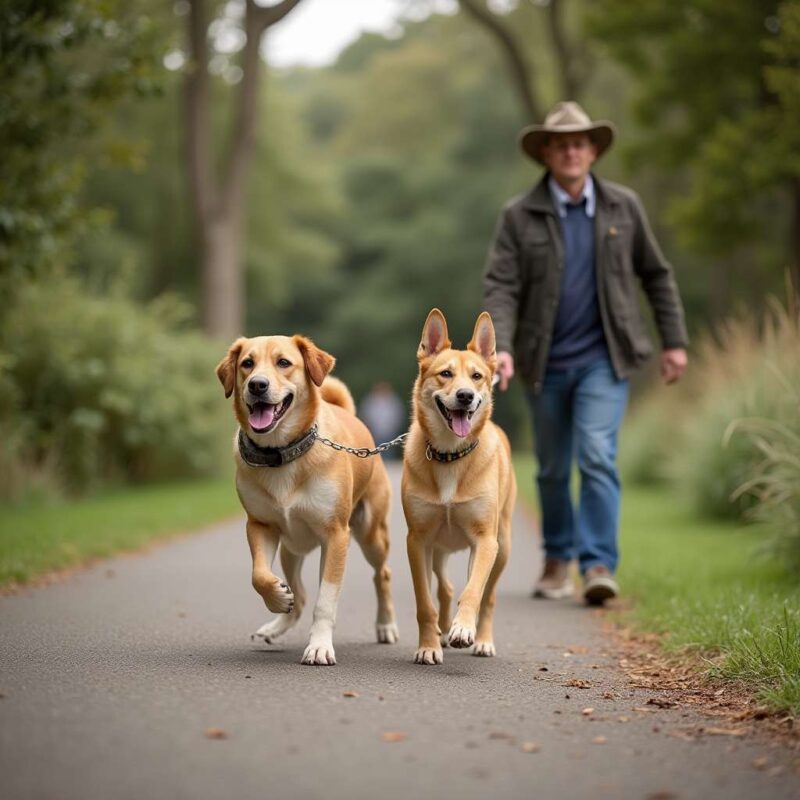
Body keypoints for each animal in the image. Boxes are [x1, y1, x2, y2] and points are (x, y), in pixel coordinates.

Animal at [214, 334, 398, 664]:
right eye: (247, 363)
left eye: (283, 362)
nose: (257, 385)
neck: (281, 454)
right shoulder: (260, 526)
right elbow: (259, 575)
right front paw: (276, 596)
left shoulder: (336, 536)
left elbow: (325, 600)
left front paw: (320, 646)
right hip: (291, 549)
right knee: (298, 597)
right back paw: (276, 624)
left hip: (370, 534)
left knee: (383, 575)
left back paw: (386, 625)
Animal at [404, 310, 516, 664]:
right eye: (445, 374)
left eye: (477, 376)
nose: (465, 395)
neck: (450, 456)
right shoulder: (418, 541)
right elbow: (424, 602)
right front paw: (428, 646)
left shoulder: (485, 541)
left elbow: (473, 591)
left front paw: (464, 629)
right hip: (438, 549)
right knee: (444, 587)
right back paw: (441, 632)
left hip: (502, 547)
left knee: (486, 595)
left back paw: (481, 640)